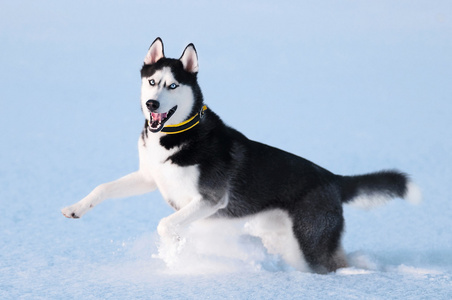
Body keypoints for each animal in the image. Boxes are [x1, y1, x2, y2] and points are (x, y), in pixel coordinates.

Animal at [61, 38, 422, 274]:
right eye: (152, 82)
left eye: (173, 86)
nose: (152, 104)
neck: (176, 137)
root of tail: (333, 179)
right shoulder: (151, 177)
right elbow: (104, 188)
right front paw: (75, 208)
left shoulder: (210, 199)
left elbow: (166, 224)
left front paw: (175, 255)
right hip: (282, 234)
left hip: (311, 240)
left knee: (332, 264)